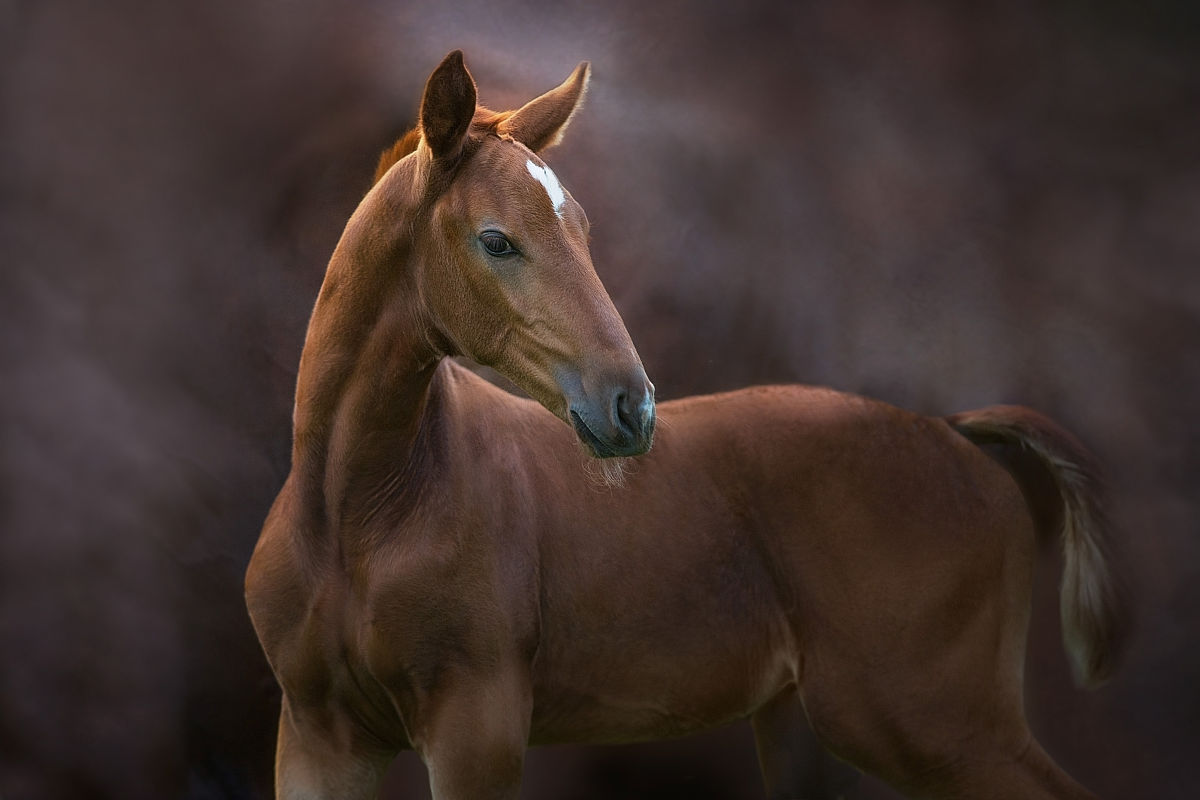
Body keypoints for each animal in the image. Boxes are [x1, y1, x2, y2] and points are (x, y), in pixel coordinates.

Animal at [244, 50, 1128, 800]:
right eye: (496, 240)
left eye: (584, 230)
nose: (629, 407)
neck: (362, 516)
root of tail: (953, 430)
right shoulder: (320, 739)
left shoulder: (475, 732)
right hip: (817, 731)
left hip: (938, 726)